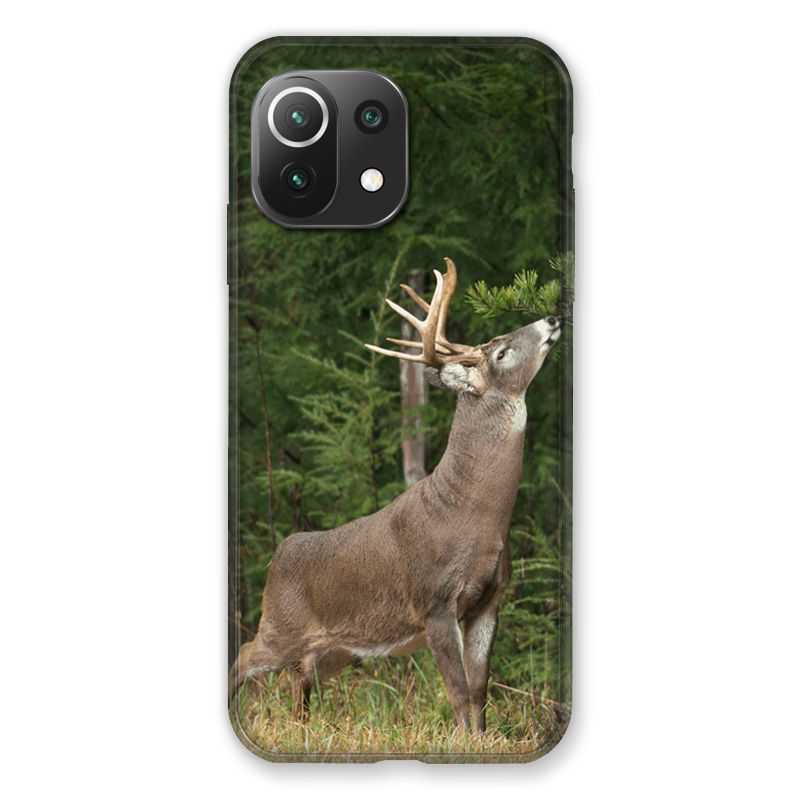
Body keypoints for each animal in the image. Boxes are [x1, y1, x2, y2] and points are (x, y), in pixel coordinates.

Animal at [231, 257, 561, 732]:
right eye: (501, 352)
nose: (552, 318)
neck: (474, 515)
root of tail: (278, 555)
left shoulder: (490, 599)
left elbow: (480, 690)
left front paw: (482, 739)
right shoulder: (435, 601)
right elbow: (458, 691)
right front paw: (463, 741)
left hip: (333, 649)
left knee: (299, 683)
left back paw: (303, 728)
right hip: (280, 624)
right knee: (244, 656)